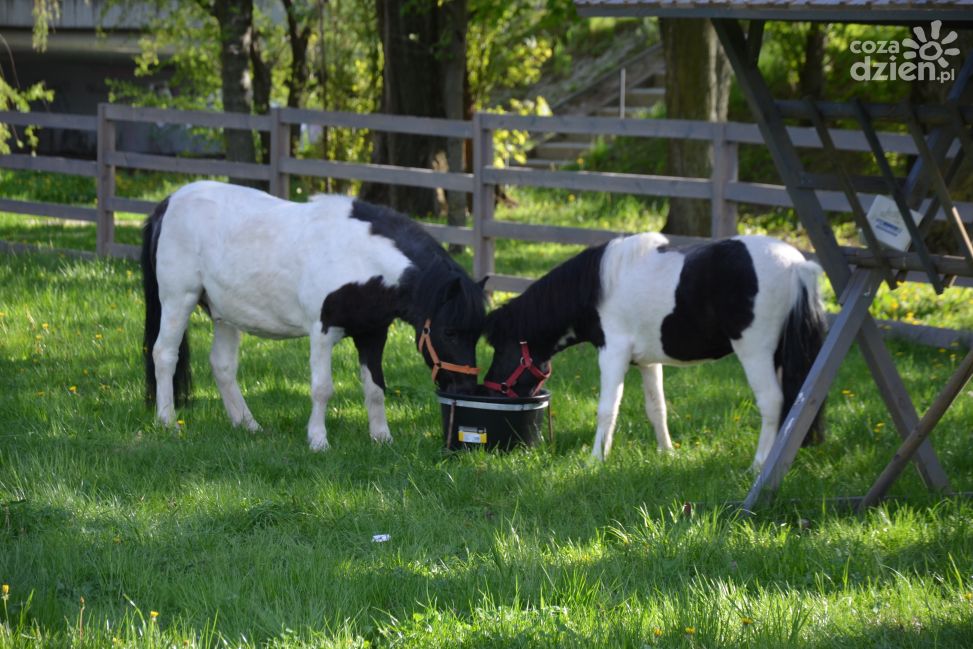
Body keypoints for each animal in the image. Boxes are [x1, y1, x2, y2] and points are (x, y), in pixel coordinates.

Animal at [141, 180, 486, 448]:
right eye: (450, 332)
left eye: (477, 334)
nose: (466, 390)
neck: (358, 256)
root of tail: (169, 202)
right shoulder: (323, 332)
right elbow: (322, 388)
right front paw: (318, 440)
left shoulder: (373, 334)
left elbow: (375, 388)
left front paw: (382, 438)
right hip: (178, 299)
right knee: (164, 354)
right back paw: (167, 422)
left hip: (224, 313)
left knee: (223, 366)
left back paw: (248, 425)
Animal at [482, 234, 824, 470]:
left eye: (501, 350)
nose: (489, 391)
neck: (599, 285)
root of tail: (797, 265)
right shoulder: (647, 362)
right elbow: (657, 409)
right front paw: (667, 453)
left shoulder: (613, 353)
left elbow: (607, 409)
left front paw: (595, 459)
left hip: (755, 352)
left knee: (773, 402)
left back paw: (758, 465)